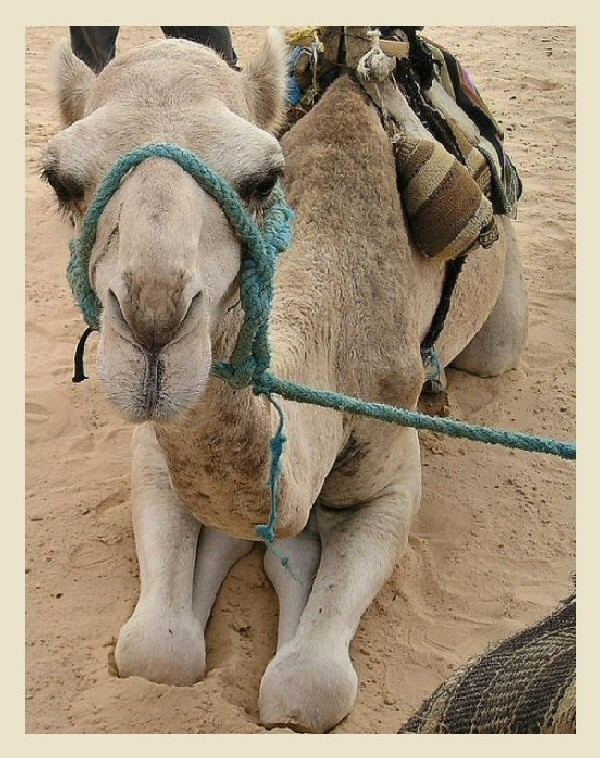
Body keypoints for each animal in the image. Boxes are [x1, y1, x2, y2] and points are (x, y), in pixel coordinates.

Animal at [42, 28, 528, 733]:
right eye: (59, 180)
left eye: (263, 177)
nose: (155, 321)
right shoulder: (154, 452)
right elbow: (154, 649)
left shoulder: (392, 463)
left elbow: (307, 687)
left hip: (501, 310)